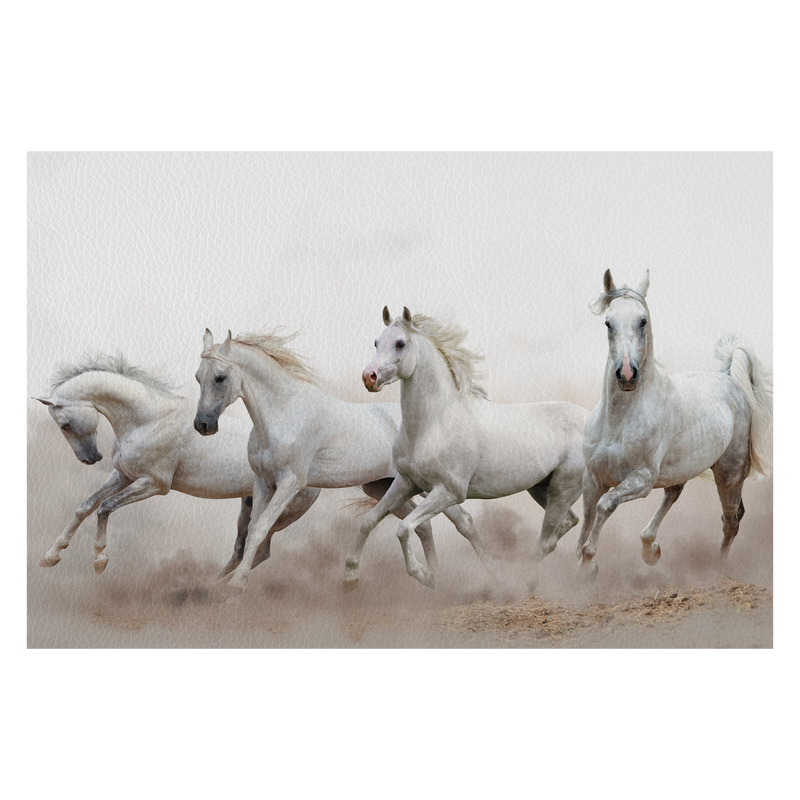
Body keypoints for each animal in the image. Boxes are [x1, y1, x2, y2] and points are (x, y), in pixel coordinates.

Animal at [35, 356, 318, 576]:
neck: (149, 419)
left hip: (280, 512)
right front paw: (50, 556)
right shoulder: (123, 476)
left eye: (65, 425)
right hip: (250, 504)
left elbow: (105, 507)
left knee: (259, 550)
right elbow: (85, 507)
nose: (91, 458)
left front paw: (99, 561)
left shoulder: (154, 484)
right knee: (243, 548)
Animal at [195, 324, 494, 592]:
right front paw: (230, 582)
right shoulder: (262, 483)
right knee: (423, 527)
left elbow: (259, 530)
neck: (285, 413)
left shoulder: (291, 483)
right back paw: (432, 577)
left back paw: (491, 575)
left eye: (220, 377)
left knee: (463, 521)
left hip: (428, 486)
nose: (203, 425)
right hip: (384, 487)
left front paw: (235, 585)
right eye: (198, 377)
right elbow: (253, 531)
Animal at [356, 310, 588, 592]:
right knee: (567, 524)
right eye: (376, 342)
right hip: (541, 488)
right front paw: (349, 576)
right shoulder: (406, 482)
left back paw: (525, 584)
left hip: (563, 490)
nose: (369, 377)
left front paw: (426, 576)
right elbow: (369, 521)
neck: (433, 425)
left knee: (547, 540)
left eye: (400, 343)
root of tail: (591, 420)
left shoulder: (449, 492)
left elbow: (404, 527)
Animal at [580, 270, 772, 576]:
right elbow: (586, 518)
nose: (626, 374)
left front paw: (589, 562)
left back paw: (717, 570)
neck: (618, 421)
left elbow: (605, 505)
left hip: (729, 475)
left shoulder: (642, 479)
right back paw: (650, 548)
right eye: (608, 323)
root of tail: (728, 377)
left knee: (731, 519)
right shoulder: (593, 478)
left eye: (642, 321)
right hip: (682, 468)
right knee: (675, 492)